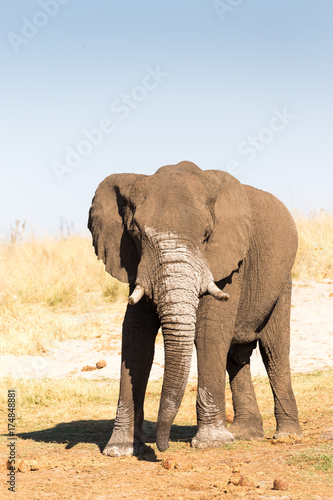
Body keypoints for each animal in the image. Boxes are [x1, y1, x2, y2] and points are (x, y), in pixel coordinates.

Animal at [87, 161, 300, 458]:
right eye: (136, 233)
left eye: (207, 235)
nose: (162, 448)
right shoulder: (135, 263)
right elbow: (135, 336)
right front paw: (120, 449)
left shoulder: (228, 263)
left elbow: (209, 331)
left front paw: (211, 443)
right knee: (237, 356)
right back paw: (245, 434)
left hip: (281, 282)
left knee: (274, 350)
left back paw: (286, 436)